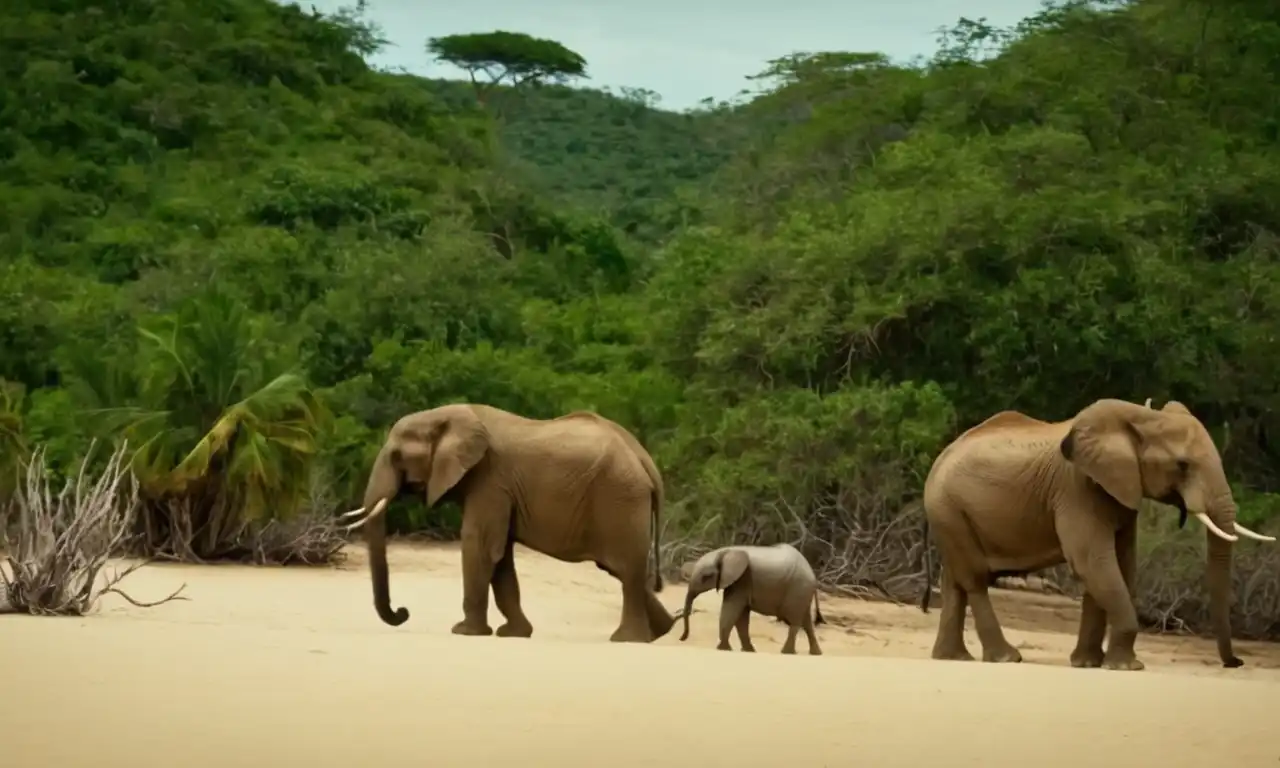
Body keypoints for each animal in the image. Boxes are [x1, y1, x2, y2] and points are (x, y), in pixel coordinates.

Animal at [340, 404, 680, 645]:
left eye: (397, 456)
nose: (403, 612)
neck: (447, 414)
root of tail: (646, 461)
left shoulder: (491, 481)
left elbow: (479, 546)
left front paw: (464, 632)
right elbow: (500, 557)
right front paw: (513, 634)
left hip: (620, 499)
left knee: (626, 569)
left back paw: (627, 640)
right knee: (621, 570)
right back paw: (659, 634)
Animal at [675, 542, 824, 655]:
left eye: (706, 577)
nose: (682, 638)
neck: (725, 552)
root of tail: (812, 574)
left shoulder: (742, 580)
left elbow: (731, 610)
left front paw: (723, 648)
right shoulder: (739, 582)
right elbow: (741, 617)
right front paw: (748, 650)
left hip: (798, 589)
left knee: (795, 622)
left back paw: (786, 652)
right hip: (801, 592)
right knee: (806, 622)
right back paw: (815, 653)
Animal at [921, 399, 1269, 670]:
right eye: (1182, 465)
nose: (1236, 662)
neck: (1140, 419)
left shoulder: (1120, 493)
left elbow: (1119, 563)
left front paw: (1088, 663)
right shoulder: (1078, 488)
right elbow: (1092, 561)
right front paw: (1127, 667)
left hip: (949, 514)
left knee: (954, 580)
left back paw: (953, 658)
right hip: (947, 507)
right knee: (975, 578)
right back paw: (1007, 658)